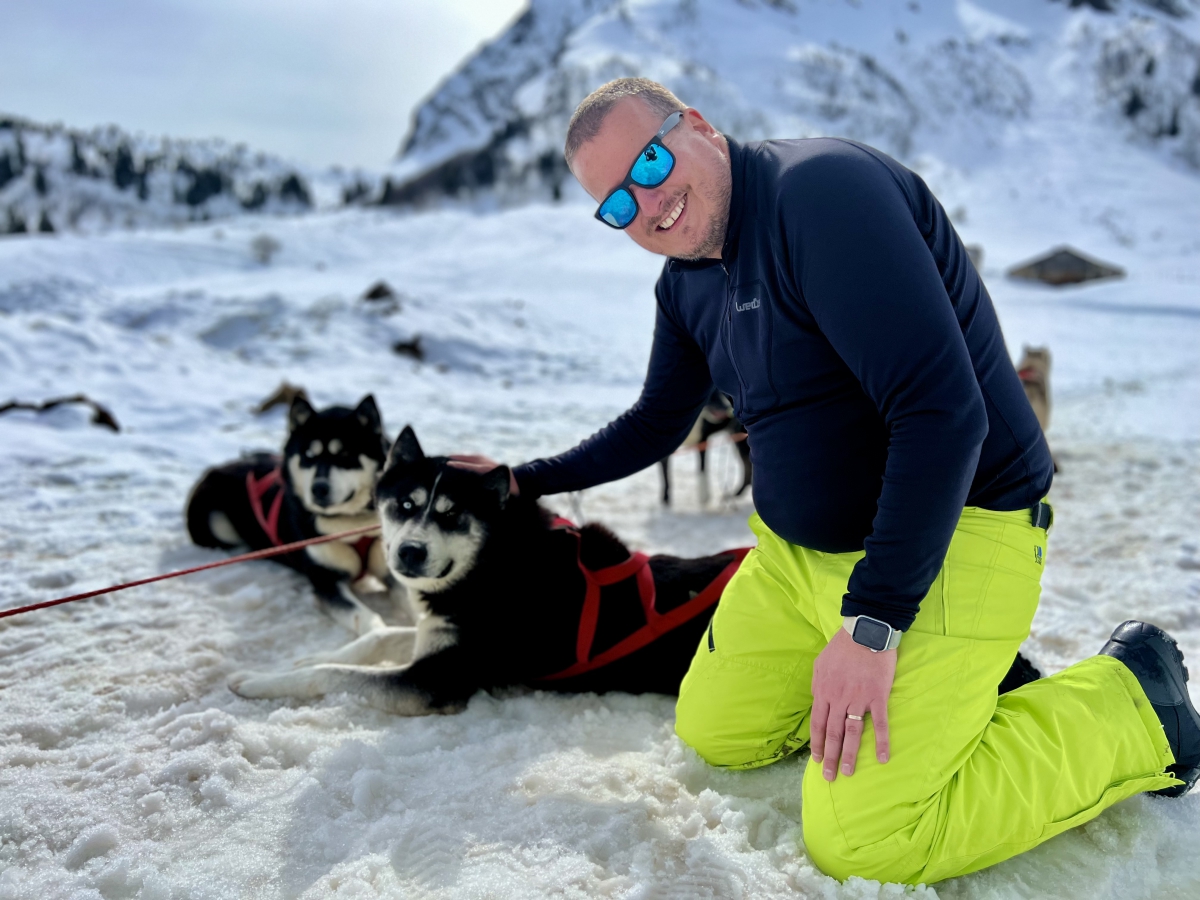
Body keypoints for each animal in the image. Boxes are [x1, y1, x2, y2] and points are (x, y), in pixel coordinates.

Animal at [186, 395, 393, 635]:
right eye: (309, 456)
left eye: (345, 454)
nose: (318, 488)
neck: (348, 523)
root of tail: (213, 470)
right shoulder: (326, 580)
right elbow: (363, 614)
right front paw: (382, 633)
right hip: (217, 524)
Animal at [229, 427, 1042, 715]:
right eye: (401, 505)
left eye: (454, 515)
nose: (408, 555)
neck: (494, 565)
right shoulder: (431, 634)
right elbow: (365, 642)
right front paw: (277, 663)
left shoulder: (438, 679)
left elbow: (344, 676)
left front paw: (260, 683)